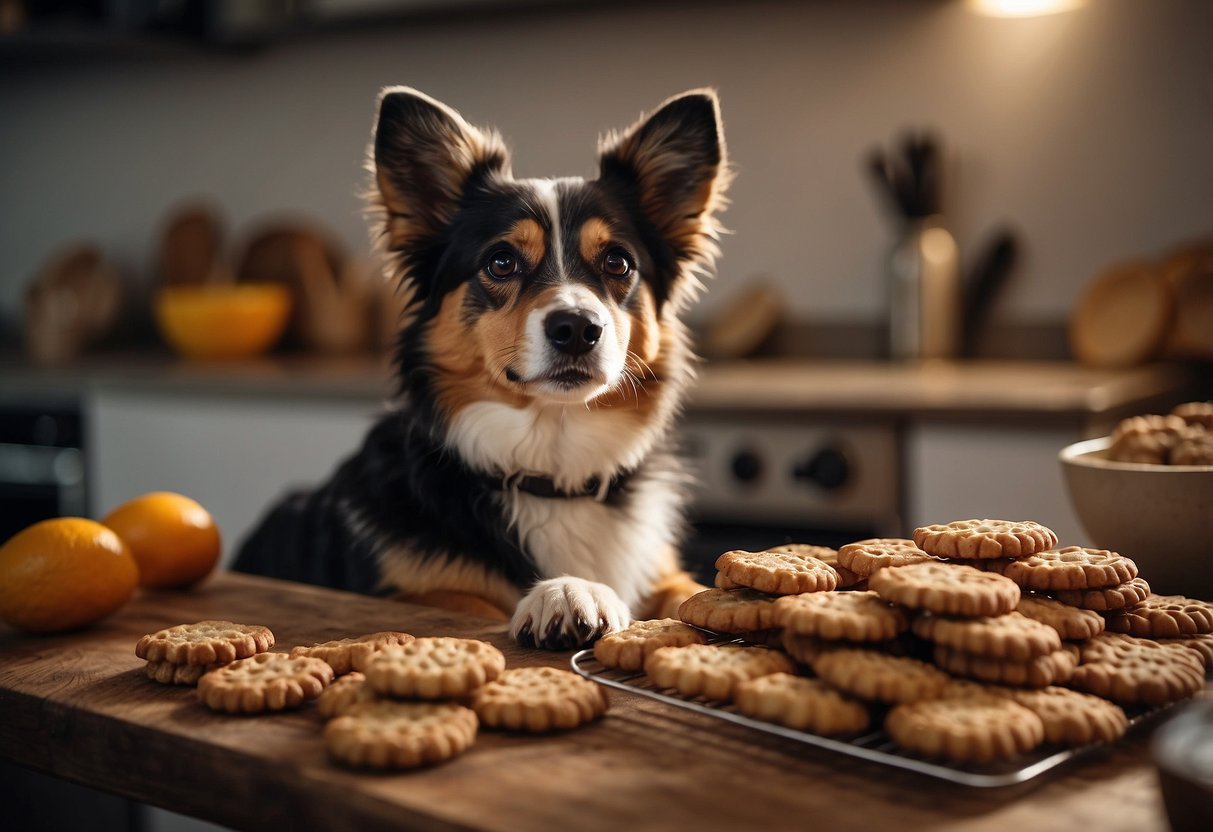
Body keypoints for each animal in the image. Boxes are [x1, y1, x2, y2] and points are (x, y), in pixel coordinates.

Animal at [234, 89, 727, 650]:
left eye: (618, 263)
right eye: (501, 262)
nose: (578, 328)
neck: (551, 467)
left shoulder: (664, 574)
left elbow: (691, 593)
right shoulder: (411, 591)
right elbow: (468, 601)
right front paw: (566, 591)